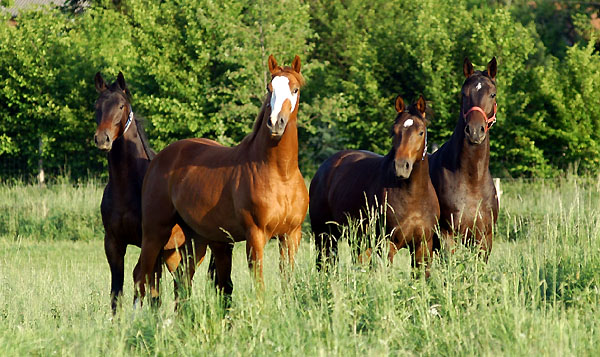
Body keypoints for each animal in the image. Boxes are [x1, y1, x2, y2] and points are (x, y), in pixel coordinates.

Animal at [92, 71, 198, 310]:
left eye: (121, 105)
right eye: (96, 105)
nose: (102, 139)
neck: (127, 187)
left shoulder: (151, 244)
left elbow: (150, 291)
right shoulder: (113, 243)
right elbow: (117, 292)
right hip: (171, 254)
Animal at [133, 54, 308, 302]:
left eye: (295, 89)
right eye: (269, 88)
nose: (276, 123)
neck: (280, 174)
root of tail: (159, 159)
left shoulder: (291, 236)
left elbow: (287, 282)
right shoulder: (256, 237)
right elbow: (259, 286)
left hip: (194, 240)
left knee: (182, 279)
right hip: (154, 232)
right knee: (141, 275)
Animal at [310, 95, 440, 276]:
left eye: (420, 132)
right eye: (394, 131)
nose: (401, 166)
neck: (413, 196)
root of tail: (324, 168)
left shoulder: (423, 246)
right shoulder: (386, 245)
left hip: (358, 241)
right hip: (324, 236)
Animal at [428, 57, 500, 258]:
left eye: (492, 94)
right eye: (463, 93)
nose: (475, 131)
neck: (472, 180)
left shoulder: (484, 238)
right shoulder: (446, 235)